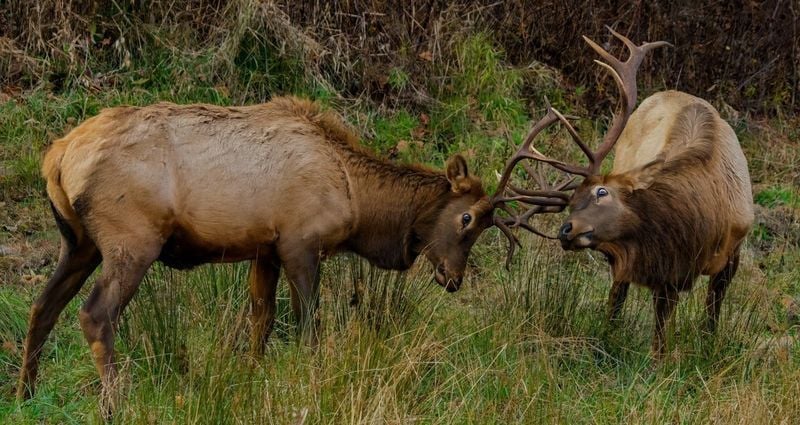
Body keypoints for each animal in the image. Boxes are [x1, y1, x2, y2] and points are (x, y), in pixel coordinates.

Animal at [17, 96, 496, 413]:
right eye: (467, 219)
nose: (454, 278)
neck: (357, 200)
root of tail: (57, 156)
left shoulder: (266, 249)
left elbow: (260, 320)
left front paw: (249, 376)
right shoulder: (301, 242)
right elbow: (309, 326)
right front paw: (314, 383)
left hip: (79, 243)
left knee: (42, 307)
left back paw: (25, 395)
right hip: (131, 239)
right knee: (94, 314)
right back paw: (115, 404)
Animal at [491, 28, 754, 358]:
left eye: (602, 191)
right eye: (571, 204)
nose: (566, 230)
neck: (701, 228)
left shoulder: (732, 250)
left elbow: (710, 313)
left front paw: (705, 347)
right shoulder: (667, 271)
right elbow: (660, 331)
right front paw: (658, 360)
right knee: (617, 293)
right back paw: (609, 332)